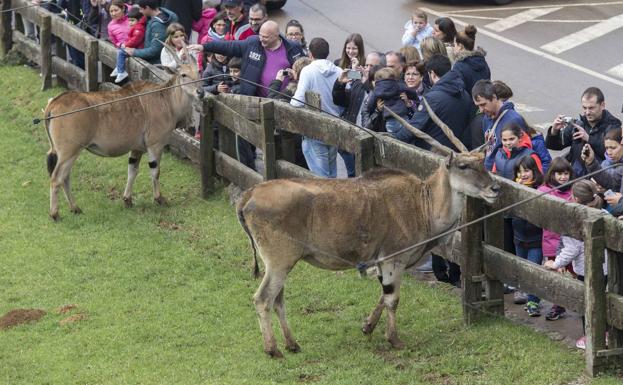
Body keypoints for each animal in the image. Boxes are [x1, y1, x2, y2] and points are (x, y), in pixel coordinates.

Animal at [44, 45, 205, 219]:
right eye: (183, 74)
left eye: (198, 72)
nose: (200, 92)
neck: (165, 99)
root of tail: (54, 103)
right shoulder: (155, 145)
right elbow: (155, 171)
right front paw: (159, 198)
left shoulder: (137, 149)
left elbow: (132, 171)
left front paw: (127, 200)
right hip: (69, 152)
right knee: (57, 178)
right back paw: (55, 213)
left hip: (68, 153)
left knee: (65, 177)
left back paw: (75, 208)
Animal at [238, 150, 502, 356]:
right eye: (464, 166)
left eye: (483, 164)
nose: (496, 188)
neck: (422, 204)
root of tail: (249, 194)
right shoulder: (394, 259)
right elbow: (392, 299)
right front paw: (394, 339)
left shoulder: (382, 263)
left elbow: (383, 297)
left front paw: (367, 327)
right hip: (279, 263)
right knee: (263, 299)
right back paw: (273, 349)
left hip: (281, 265)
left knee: (278, 300)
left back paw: (292, 344)